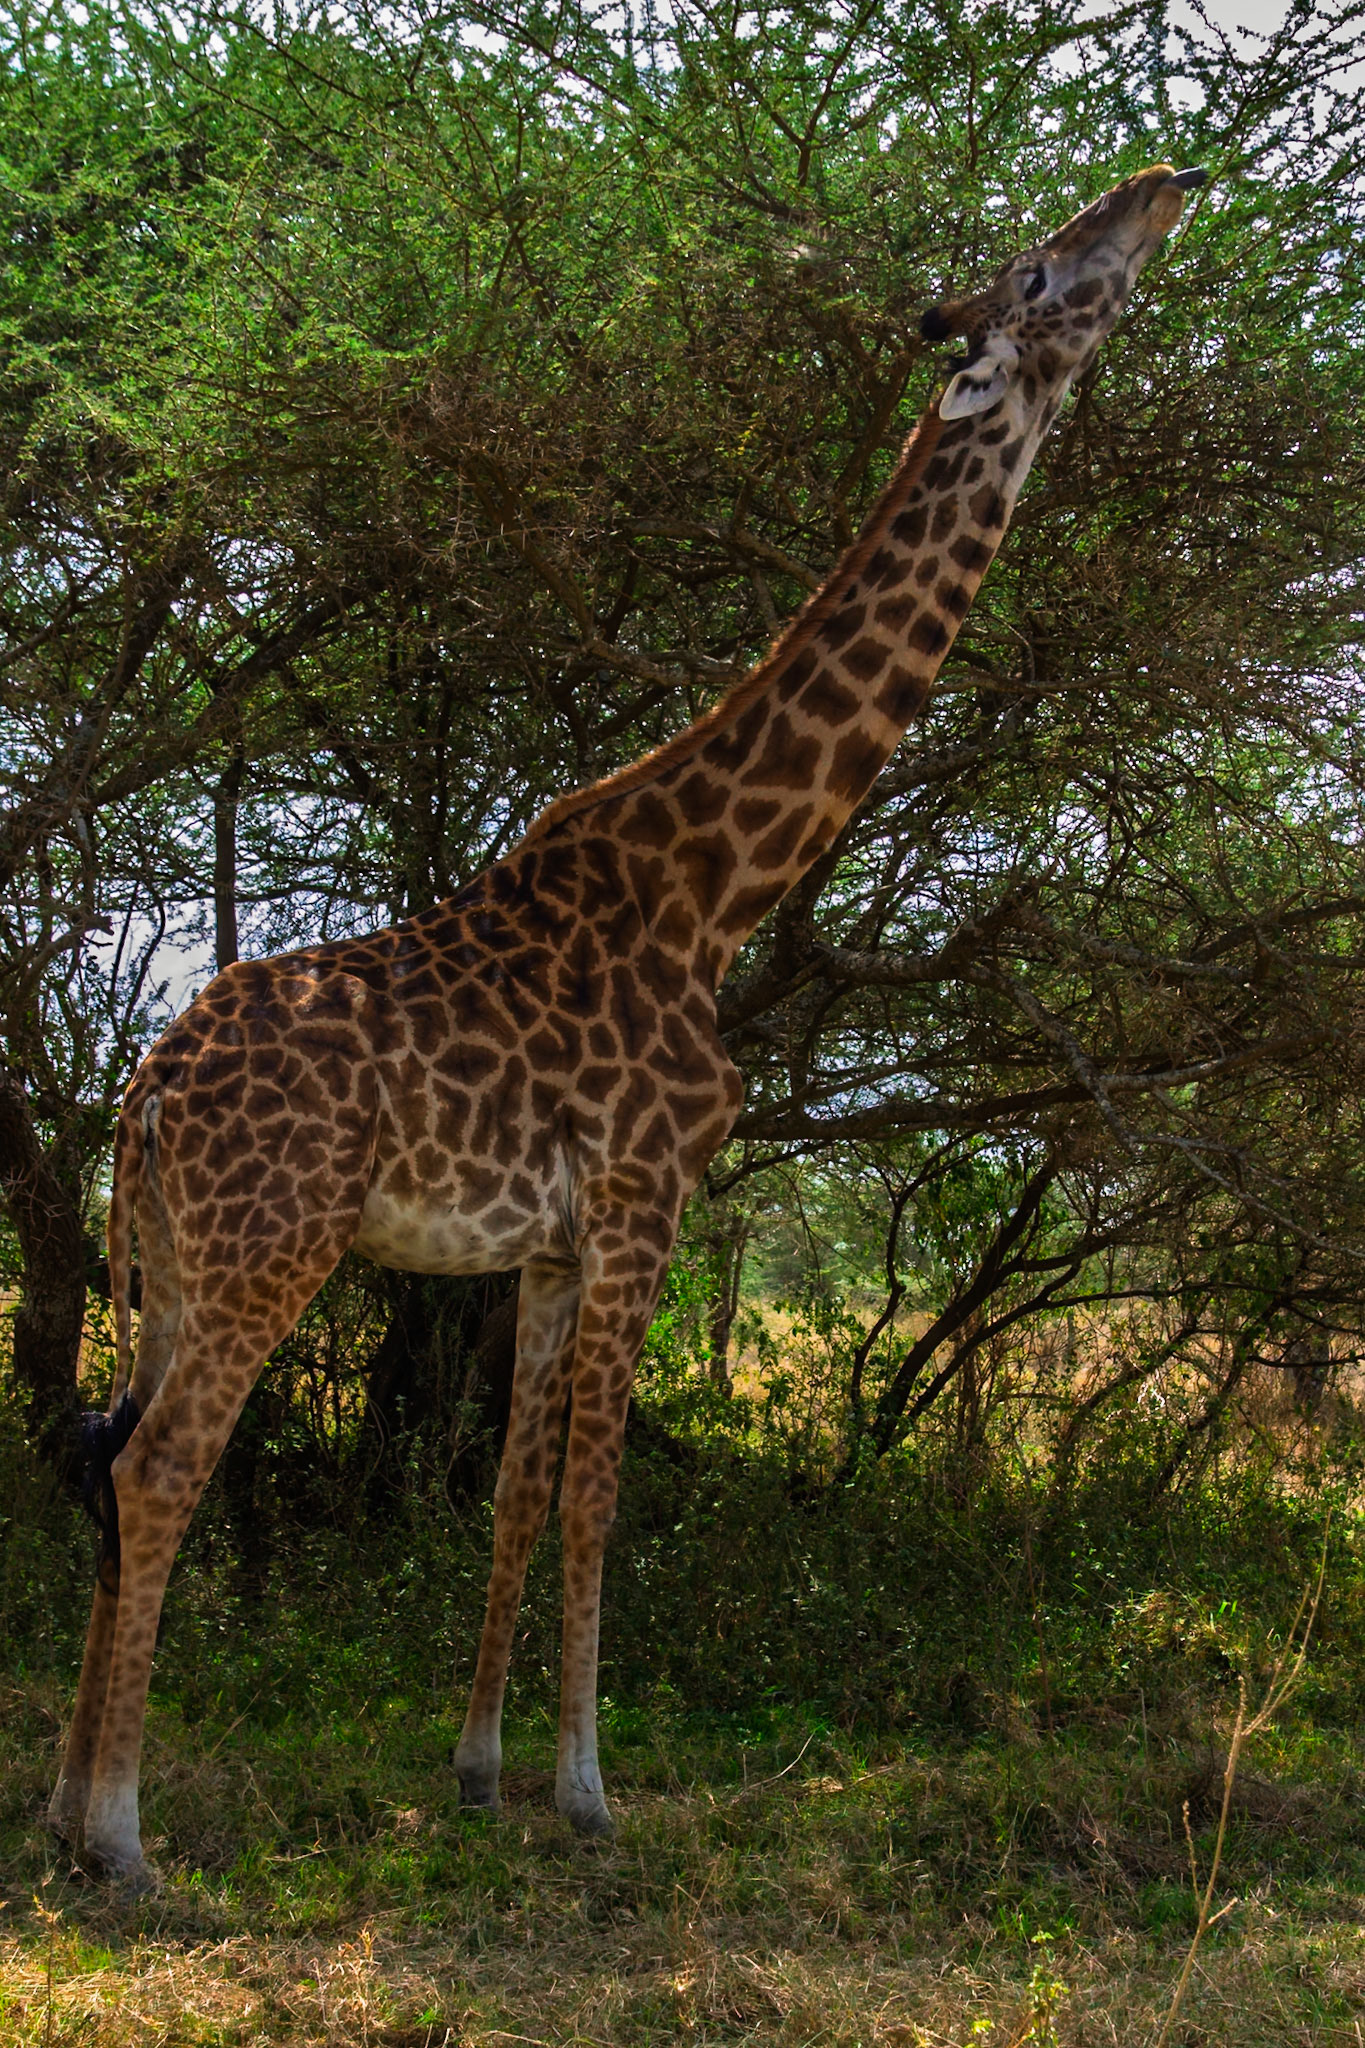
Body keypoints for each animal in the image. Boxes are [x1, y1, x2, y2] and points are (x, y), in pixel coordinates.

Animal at [49, 163, 1203, 1880]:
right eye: (1043, 274)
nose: (1163, 186)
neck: (713, 888)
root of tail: (139, 1094)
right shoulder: (646, 1196)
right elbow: (598, 1499)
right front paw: (591, 1791)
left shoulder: (543, 1242)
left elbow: (517, 1493)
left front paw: (478, 1772)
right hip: (275, 1245)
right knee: (161, 1465)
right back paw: (123, 1836)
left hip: (174, 1264)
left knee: (103, 1463)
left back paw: (64, 1807)